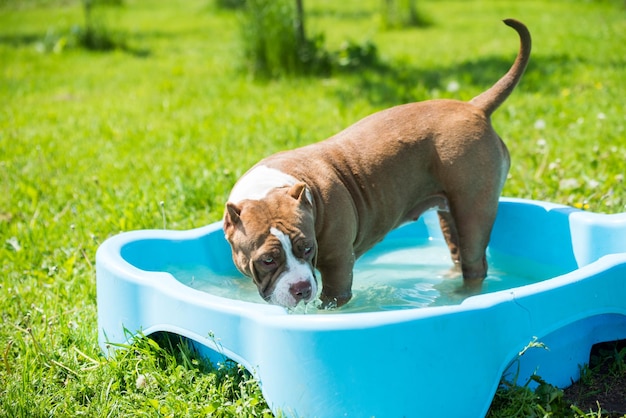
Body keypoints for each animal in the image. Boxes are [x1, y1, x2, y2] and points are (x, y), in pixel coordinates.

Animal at [222, 18, 528, 306]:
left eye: (308, 248)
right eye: (268, 260)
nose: (301, 289)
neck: (275, 186)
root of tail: (474, 107)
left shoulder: (338, 265)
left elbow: (333, 299)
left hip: (474, 210)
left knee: (475, 261)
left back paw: (462, 294)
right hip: (449, 210)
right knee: (457, 250)